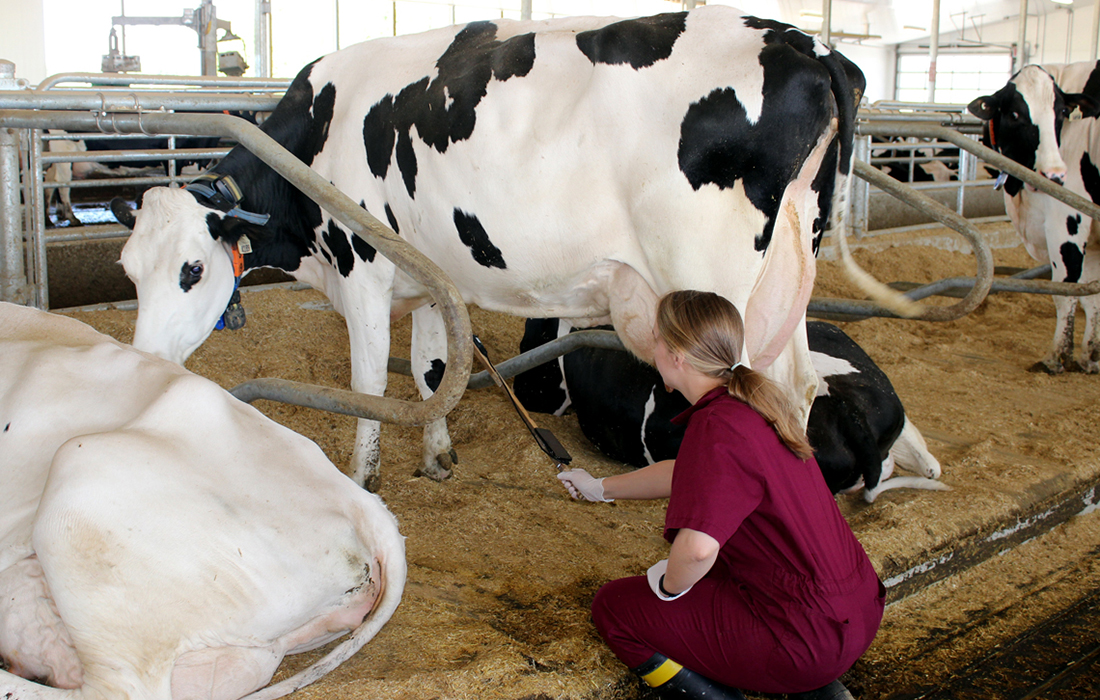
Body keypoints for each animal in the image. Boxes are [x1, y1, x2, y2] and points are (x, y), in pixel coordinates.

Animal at [109, 5, 919, 488]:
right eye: (128, 271)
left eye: (192, 269)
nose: (140, 364)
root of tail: (807, 42)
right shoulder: (428, 273)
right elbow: (432, 369)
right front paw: (438, 455)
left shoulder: (363, 269)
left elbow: (369, 384)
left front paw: (364, 478)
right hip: (788, 279)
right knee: (797, 393)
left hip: (716, 283)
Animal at [968, 63, 1100, 374]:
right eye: (1015, 114)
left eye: (1062, 112)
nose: (1054, 175)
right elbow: (1091, 295)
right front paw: (1090, 355)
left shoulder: (1068, 218)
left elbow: (1065, 290)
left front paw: (1057, 357)